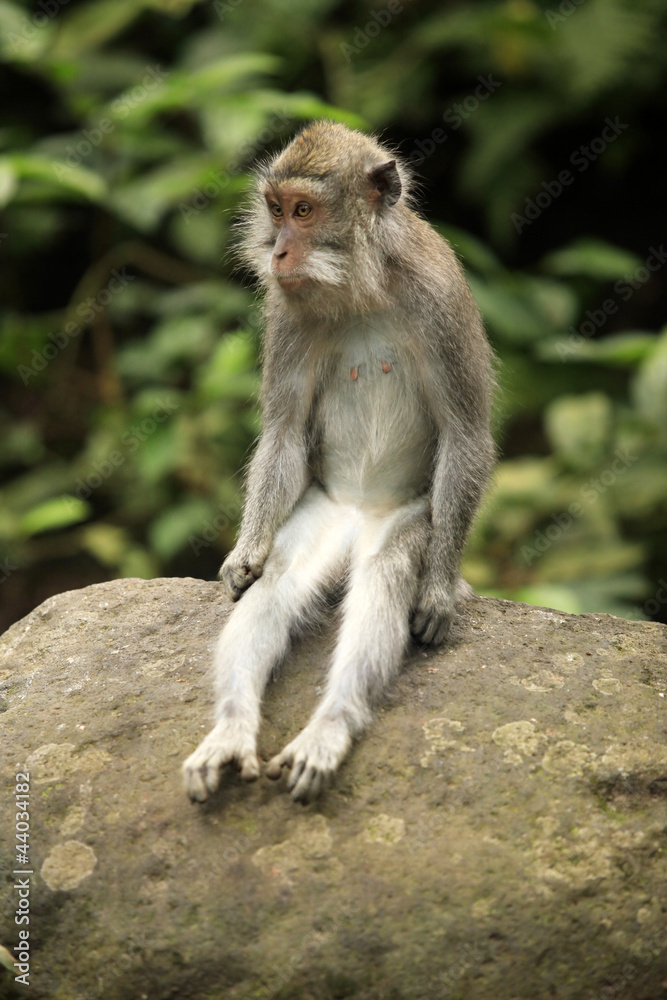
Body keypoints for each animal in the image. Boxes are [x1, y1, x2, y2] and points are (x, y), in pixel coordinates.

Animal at [182, 120, 495, 804]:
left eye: (305, 211)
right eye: (276, 211)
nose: (278, 253)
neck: (362, 289)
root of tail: (356, 519)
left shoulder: (442, 295)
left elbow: (466, 435)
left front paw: (438, 593)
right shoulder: (285, 311)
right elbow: (283, 432)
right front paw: (244, 553)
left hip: (405, 521)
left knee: (383, 578)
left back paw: (329, 728)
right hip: (320, 513)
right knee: (279, 584)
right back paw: (232, 729)